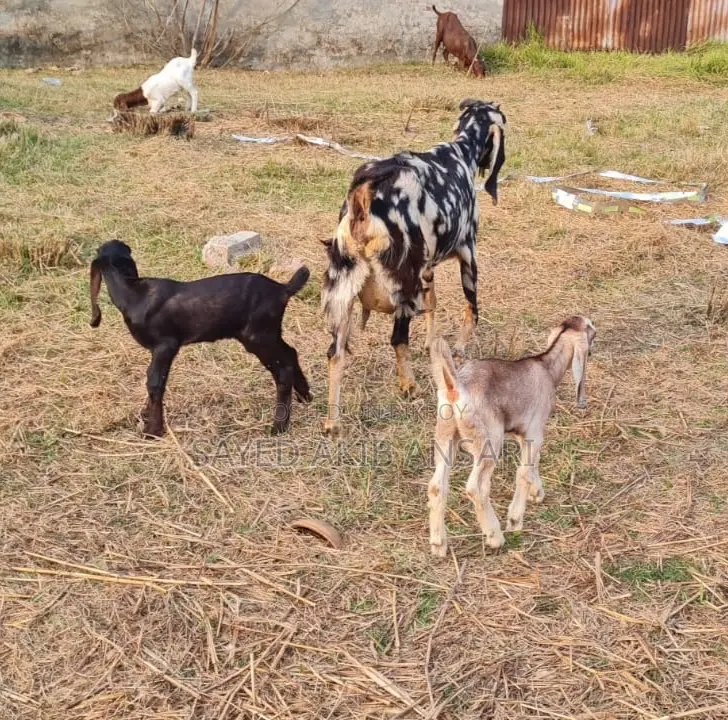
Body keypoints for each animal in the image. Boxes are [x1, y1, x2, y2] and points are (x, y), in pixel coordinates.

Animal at [89, 240, 312, 437]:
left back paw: (278, 426)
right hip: (269, 333)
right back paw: (305, 396)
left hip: (257, 336)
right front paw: (147, 417)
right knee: (291, 353)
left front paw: (153, 430)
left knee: (283, 370)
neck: (134, 294)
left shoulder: (165, 346)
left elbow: (155, 381)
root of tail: (283, 289)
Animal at [321, 99, 506, 436]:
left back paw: (333, 421)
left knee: (335, 354)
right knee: (397, 339)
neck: (460, 152)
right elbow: (471, 309)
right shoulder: (468, 255)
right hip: (402, 289)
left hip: (342, 292)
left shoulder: (427, 268)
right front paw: (459, 349)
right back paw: (408, 385)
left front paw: (433, 344)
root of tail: (363, 200)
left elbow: (433, 304)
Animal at [427, 316, 596, 556]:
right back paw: (495, 536)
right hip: (489, 441)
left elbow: (532, 464)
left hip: (445, 436)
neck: (546, 367)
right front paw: (516, 520)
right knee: (476, 487)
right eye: (591, 328)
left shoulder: (521, 434)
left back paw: (438, 544)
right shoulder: (535, 431)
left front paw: (537, 492)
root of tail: (456, 387)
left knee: (436, 486)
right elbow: (523, 472)